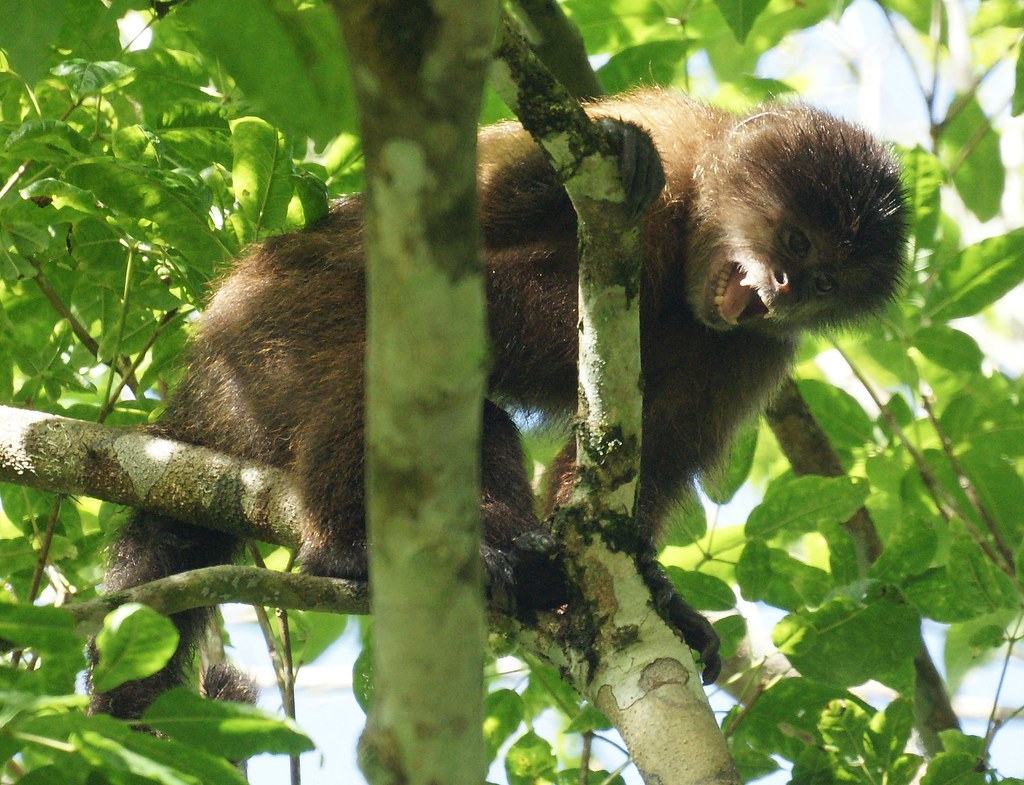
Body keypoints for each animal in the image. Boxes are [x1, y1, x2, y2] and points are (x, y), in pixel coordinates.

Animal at [89, 89, 907, 720]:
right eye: (795, 240)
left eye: (826, 279)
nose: (783, 287)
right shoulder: (673, 143)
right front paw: (610, 155)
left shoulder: (757, 351)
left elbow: (649, 456)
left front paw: (650, 583)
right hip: (263, 337)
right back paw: (344, 552)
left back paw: (524, 565)